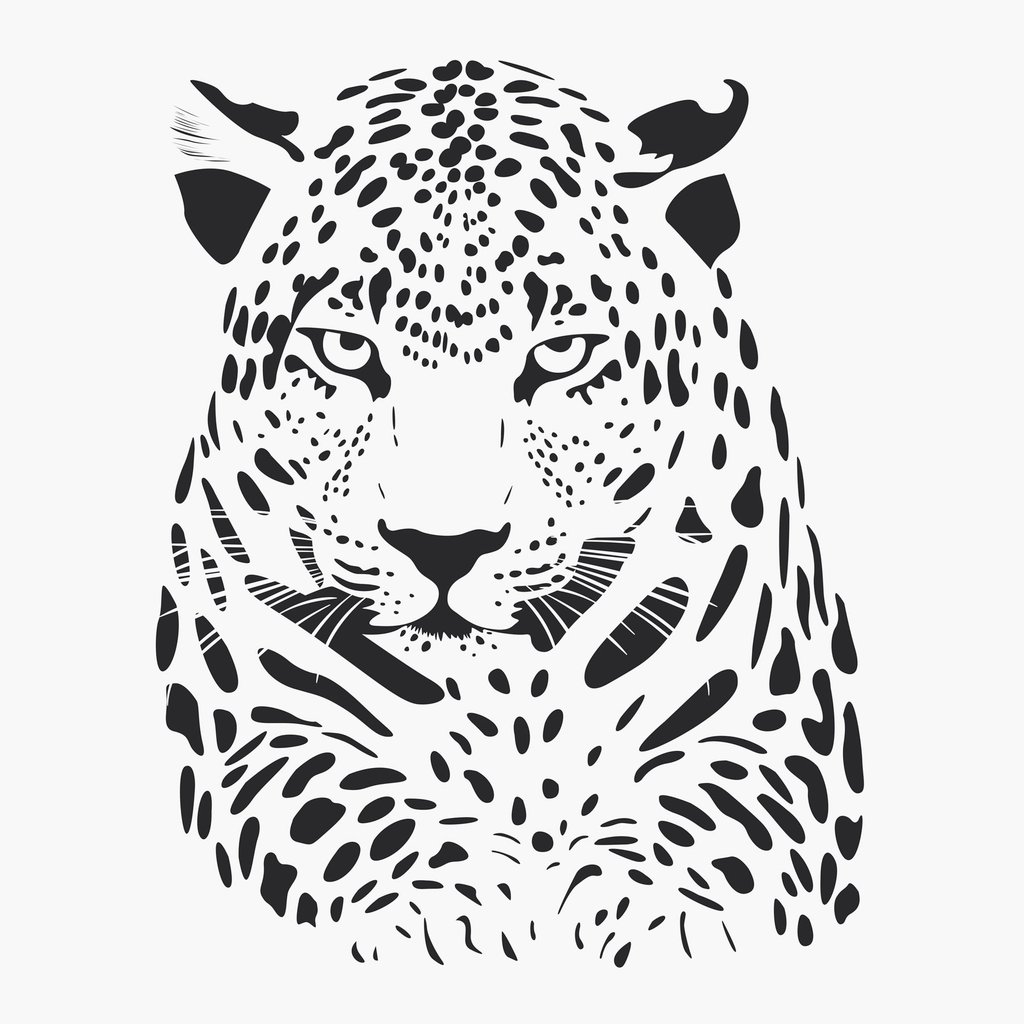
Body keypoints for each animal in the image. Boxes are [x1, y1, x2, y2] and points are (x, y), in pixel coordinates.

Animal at [156, 58, 862, 966]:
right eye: (345, 350)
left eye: (561, 354)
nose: (442, 548)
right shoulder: (257, 724)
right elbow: (338, 807)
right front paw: (440, 910)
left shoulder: (776, 724)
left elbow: (721, 820)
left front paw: (659, 918)